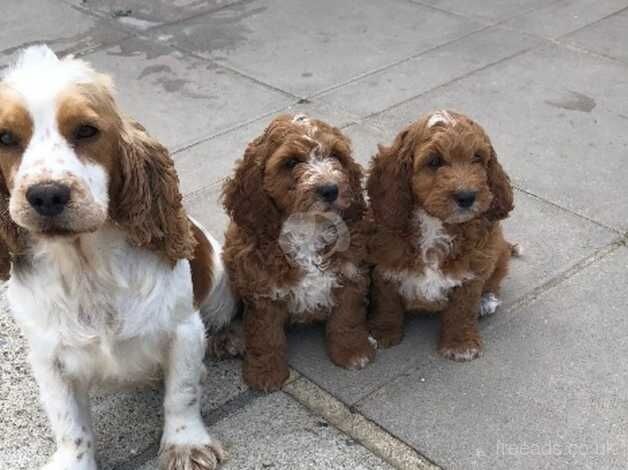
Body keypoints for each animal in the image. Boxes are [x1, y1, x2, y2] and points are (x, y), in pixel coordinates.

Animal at [0, 46, 236, 470]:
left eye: (86, 130)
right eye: (6, 138)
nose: (46, 195)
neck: (86, 265)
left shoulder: (183, 330)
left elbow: (182, 393)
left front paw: (186, 445)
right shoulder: (48, 356)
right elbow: (68, 421)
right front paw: (73, 461)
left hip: (221, 290)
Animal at [223, 114, 376, 392]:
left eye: (336, 156)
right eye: (291, 162)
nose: (330, 189)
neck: (308, 226)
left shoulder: (351, 273)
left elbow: (347, 318)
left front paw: (353, 352)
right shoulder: (261, 287)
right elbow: (265, 333)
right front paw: (265, 373)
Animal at [366, 109, 516, 360]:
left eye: (477, 158)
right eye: (434, 161)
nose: (467, 197)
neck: (434, 224)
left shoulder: (472, 269)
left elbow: (462, 309)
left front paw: (460, 344)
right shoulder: (385, 263)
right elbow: (387, 301)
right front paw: (383, 331)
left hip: (498, 250)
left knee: (495, 279)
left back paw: (487, 301)